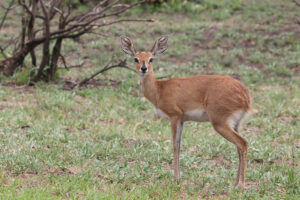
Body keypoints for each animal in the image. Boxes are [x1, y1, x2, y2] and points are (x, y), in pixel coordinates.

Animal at [120, 35, 252, 190]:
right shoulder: (182, 120)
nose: (143, 68)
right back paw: (235, 182)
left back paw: (241, 185)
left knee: (243, 143)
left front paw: (175, 179)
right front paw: (178, 178)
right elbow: (179, 144)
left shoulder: (174, 116)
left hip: (220, 123)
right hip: (235, 123)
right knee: (239, 146)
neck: (159, 90)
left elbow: (174, 145)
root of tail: (245, 94)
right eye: (136, 58)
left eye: (151, 58)